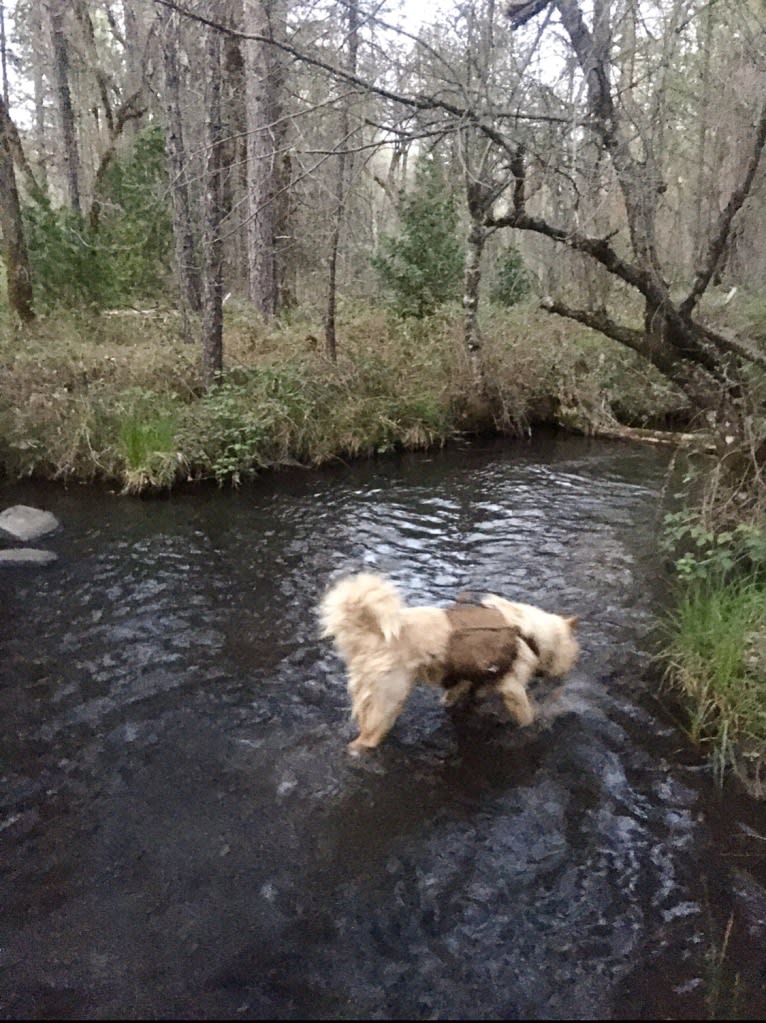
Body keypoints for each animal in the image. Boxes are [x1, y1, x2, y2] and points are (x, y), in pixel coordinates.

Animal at [319, 572, 580, 757]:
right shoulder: (512, 688)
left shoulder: (464, 683)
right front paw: (534, 726)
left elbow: (457, 698)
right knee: (365, 739)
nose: (565, 677)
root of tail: (369, 632)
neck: (529, 633)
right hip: (390, 700)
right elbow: (527, 717)